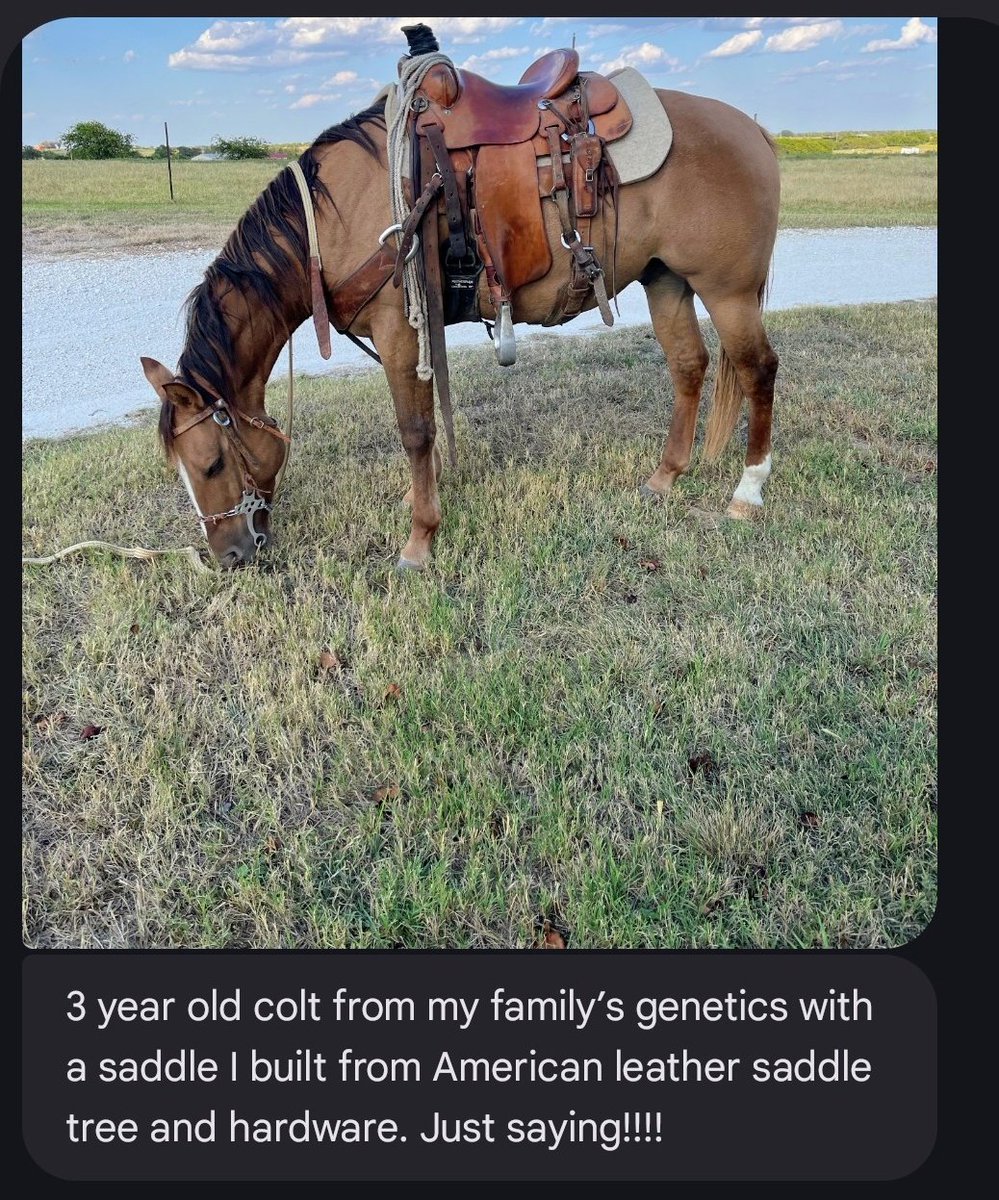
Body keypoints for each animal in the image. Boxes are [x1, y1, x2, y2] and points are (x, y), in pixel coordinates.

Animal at [140, 52, 780, 571]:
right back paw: (666, 476)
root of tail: (754, 129)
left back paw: (746, 494)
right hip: (666, 279)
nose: (228, 556)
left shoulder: (399, 330)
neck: (336, 217)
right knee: (689, 365)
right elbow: (428, 418)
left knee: (758, 370)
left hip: (727, 291)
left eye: (211, 466)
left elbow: (415, 429)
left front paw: (420, 538)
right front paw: (421, 497)